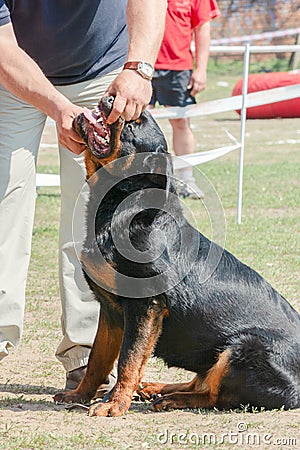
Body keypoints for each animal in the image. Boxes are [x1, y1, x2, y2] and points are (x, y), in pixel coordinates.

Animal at [54, 96, 300, 416]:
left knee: (215, 396)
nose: (110, 97)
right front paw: (81, 394)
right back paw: (156, 389)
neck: (123, 206)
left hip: (242, 348)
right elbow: (98, 359)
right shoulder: (110, 312)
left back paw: (171, 399)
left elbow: (128, 360)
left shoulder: (145, 306)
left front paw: (114, 404)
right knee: (201, 382)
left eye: (133, 123)